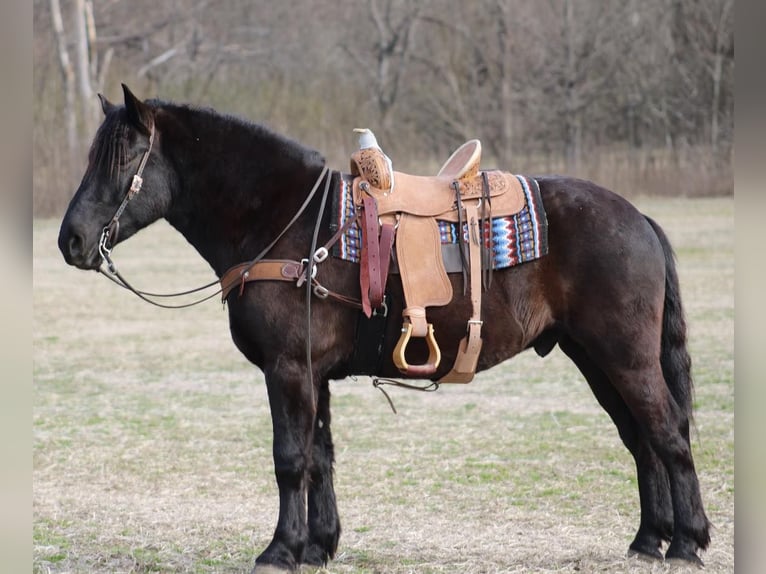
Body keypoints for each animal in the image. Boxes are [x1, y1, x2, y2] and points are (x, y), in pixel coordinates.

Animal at [57, 86, 712, 574]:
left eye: (121, 159)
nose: (71, 240)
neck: (286, 224)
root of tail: (637, 217)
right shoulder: (312, 375)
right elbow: (319, 457)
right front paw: (317, 546)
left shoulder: (287, 370)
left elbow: (290, 458)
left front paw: (279, 551)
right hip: (596, 359)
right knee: (641, 440)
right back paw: (648, 540)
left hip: (625, 358)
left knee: (667, 432)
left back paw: (687, 541)